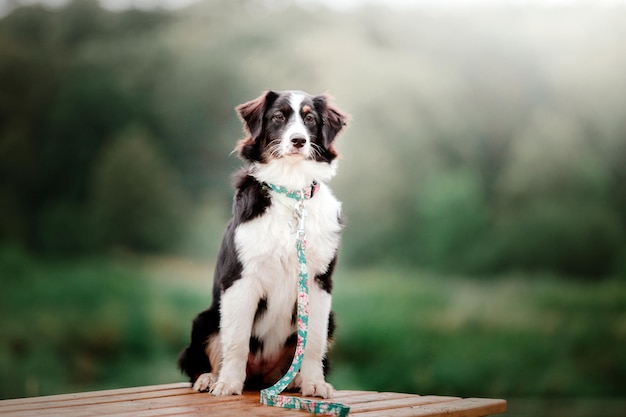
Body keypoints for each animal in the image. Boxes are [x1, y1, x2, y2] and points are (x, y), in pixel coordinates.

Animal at [178, 90, 348, 396]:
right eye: (278, 116)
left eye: (309, 119)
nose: (298, 140)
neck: (291, 191)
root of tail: (261, 377)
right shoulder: (241, 278)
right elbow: (236, 340)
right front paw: (228, 384)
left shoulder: (318, 282)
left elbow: (314, 342)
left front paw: (315, 383)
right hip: (206, 319)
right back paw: (210, 378)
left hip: (330, 319)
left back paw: (297, 381)